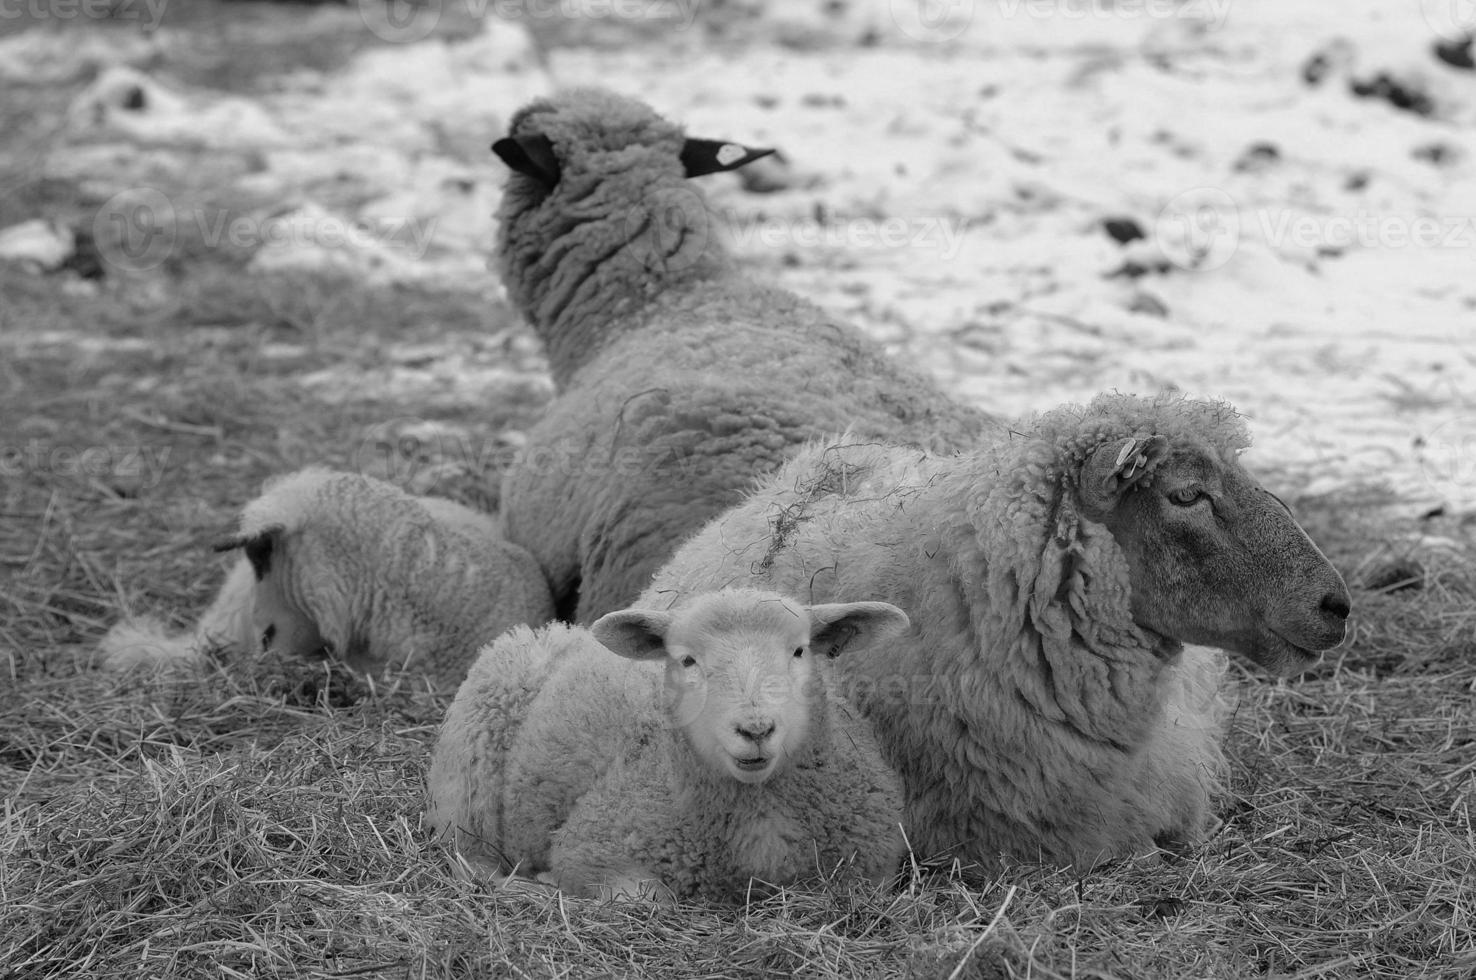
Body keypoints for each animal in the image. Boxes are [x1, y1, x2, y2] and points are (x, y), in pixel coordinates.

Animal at [428, 590, 909, 903]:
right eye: (687, 660)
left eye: (799, 651)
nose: (755, 729)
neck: (759, 812)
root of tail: (557, 631)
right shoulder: (590, 846)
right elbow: (649, 901)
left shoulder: (872, 866)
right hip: (468, 779)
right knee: (466, 852)